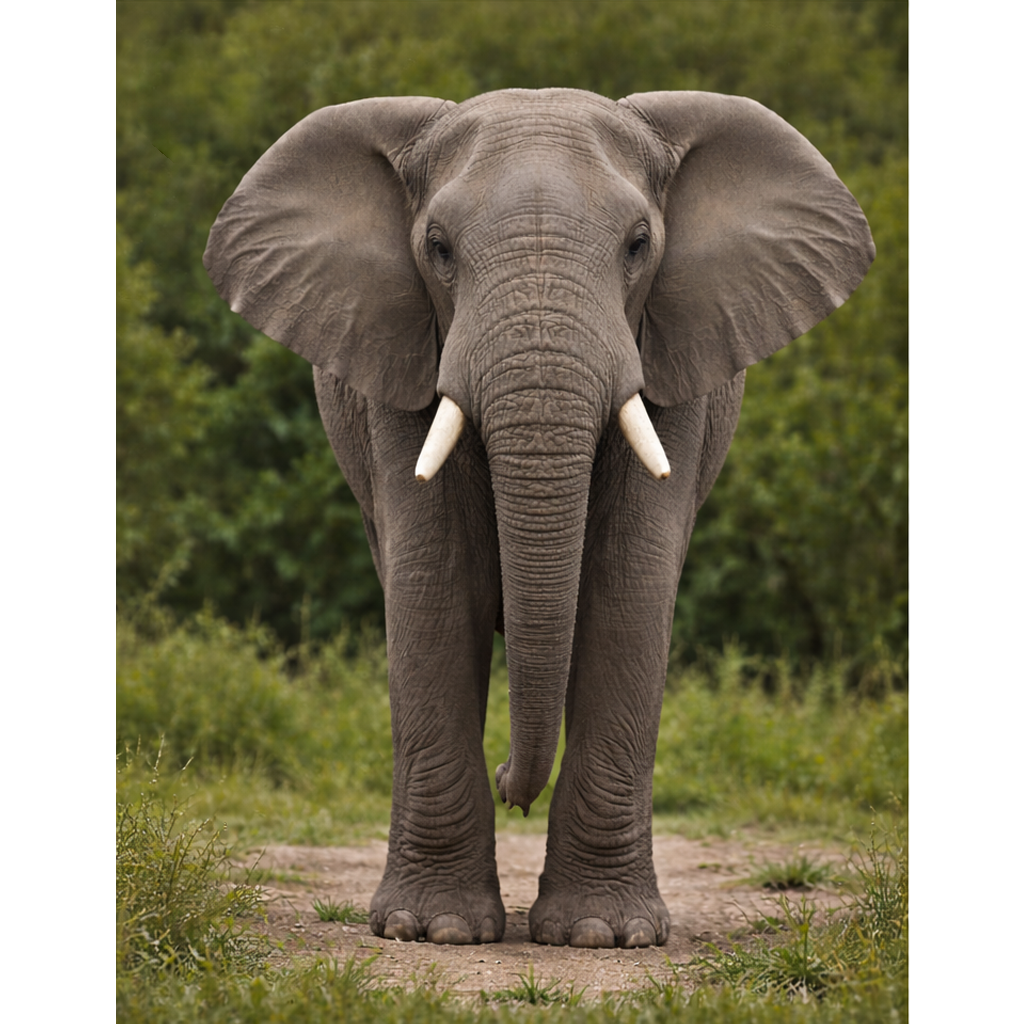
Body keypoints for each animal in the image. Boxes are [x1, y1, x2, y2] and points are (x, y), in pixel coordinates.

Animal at [204, 88, 874, 949]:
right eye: (438, 248)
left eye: (639, 245)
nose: (507, 783)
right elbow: (433, 586)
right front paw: (432, 930)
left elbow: (629, 589)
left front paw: (603, 936)